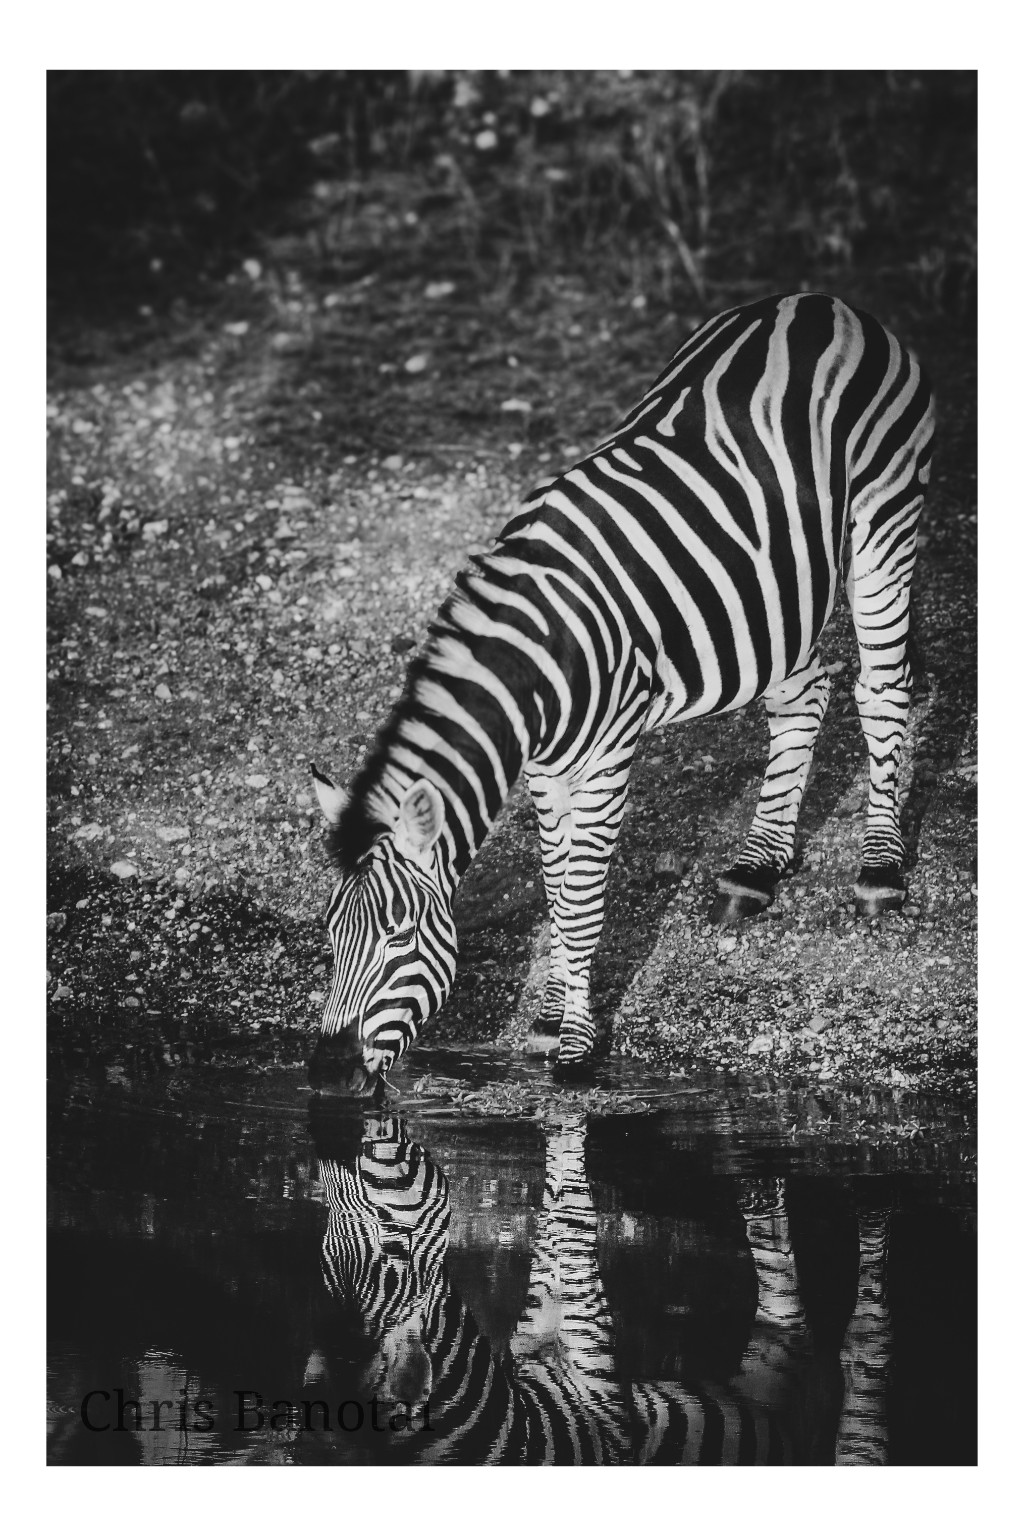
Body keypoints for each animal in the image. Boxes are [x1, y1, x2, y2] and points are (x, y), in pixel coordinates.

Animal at [310, 291, 934, 1083]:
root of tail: (819, 302)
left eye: (400, 938)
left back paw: (879, 869)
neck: (535, 654)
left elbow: (580, 900)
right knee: (805, 692)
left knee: (882, 689)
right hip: (773, 596)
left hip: (887, 523)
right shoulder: (547, 768)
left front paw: (575, 1049)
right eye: (331, 935)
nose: (327, 1076)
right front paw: (550, 1016)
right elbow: (555, 885)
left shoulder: (608, 756)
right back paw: (757, 869)